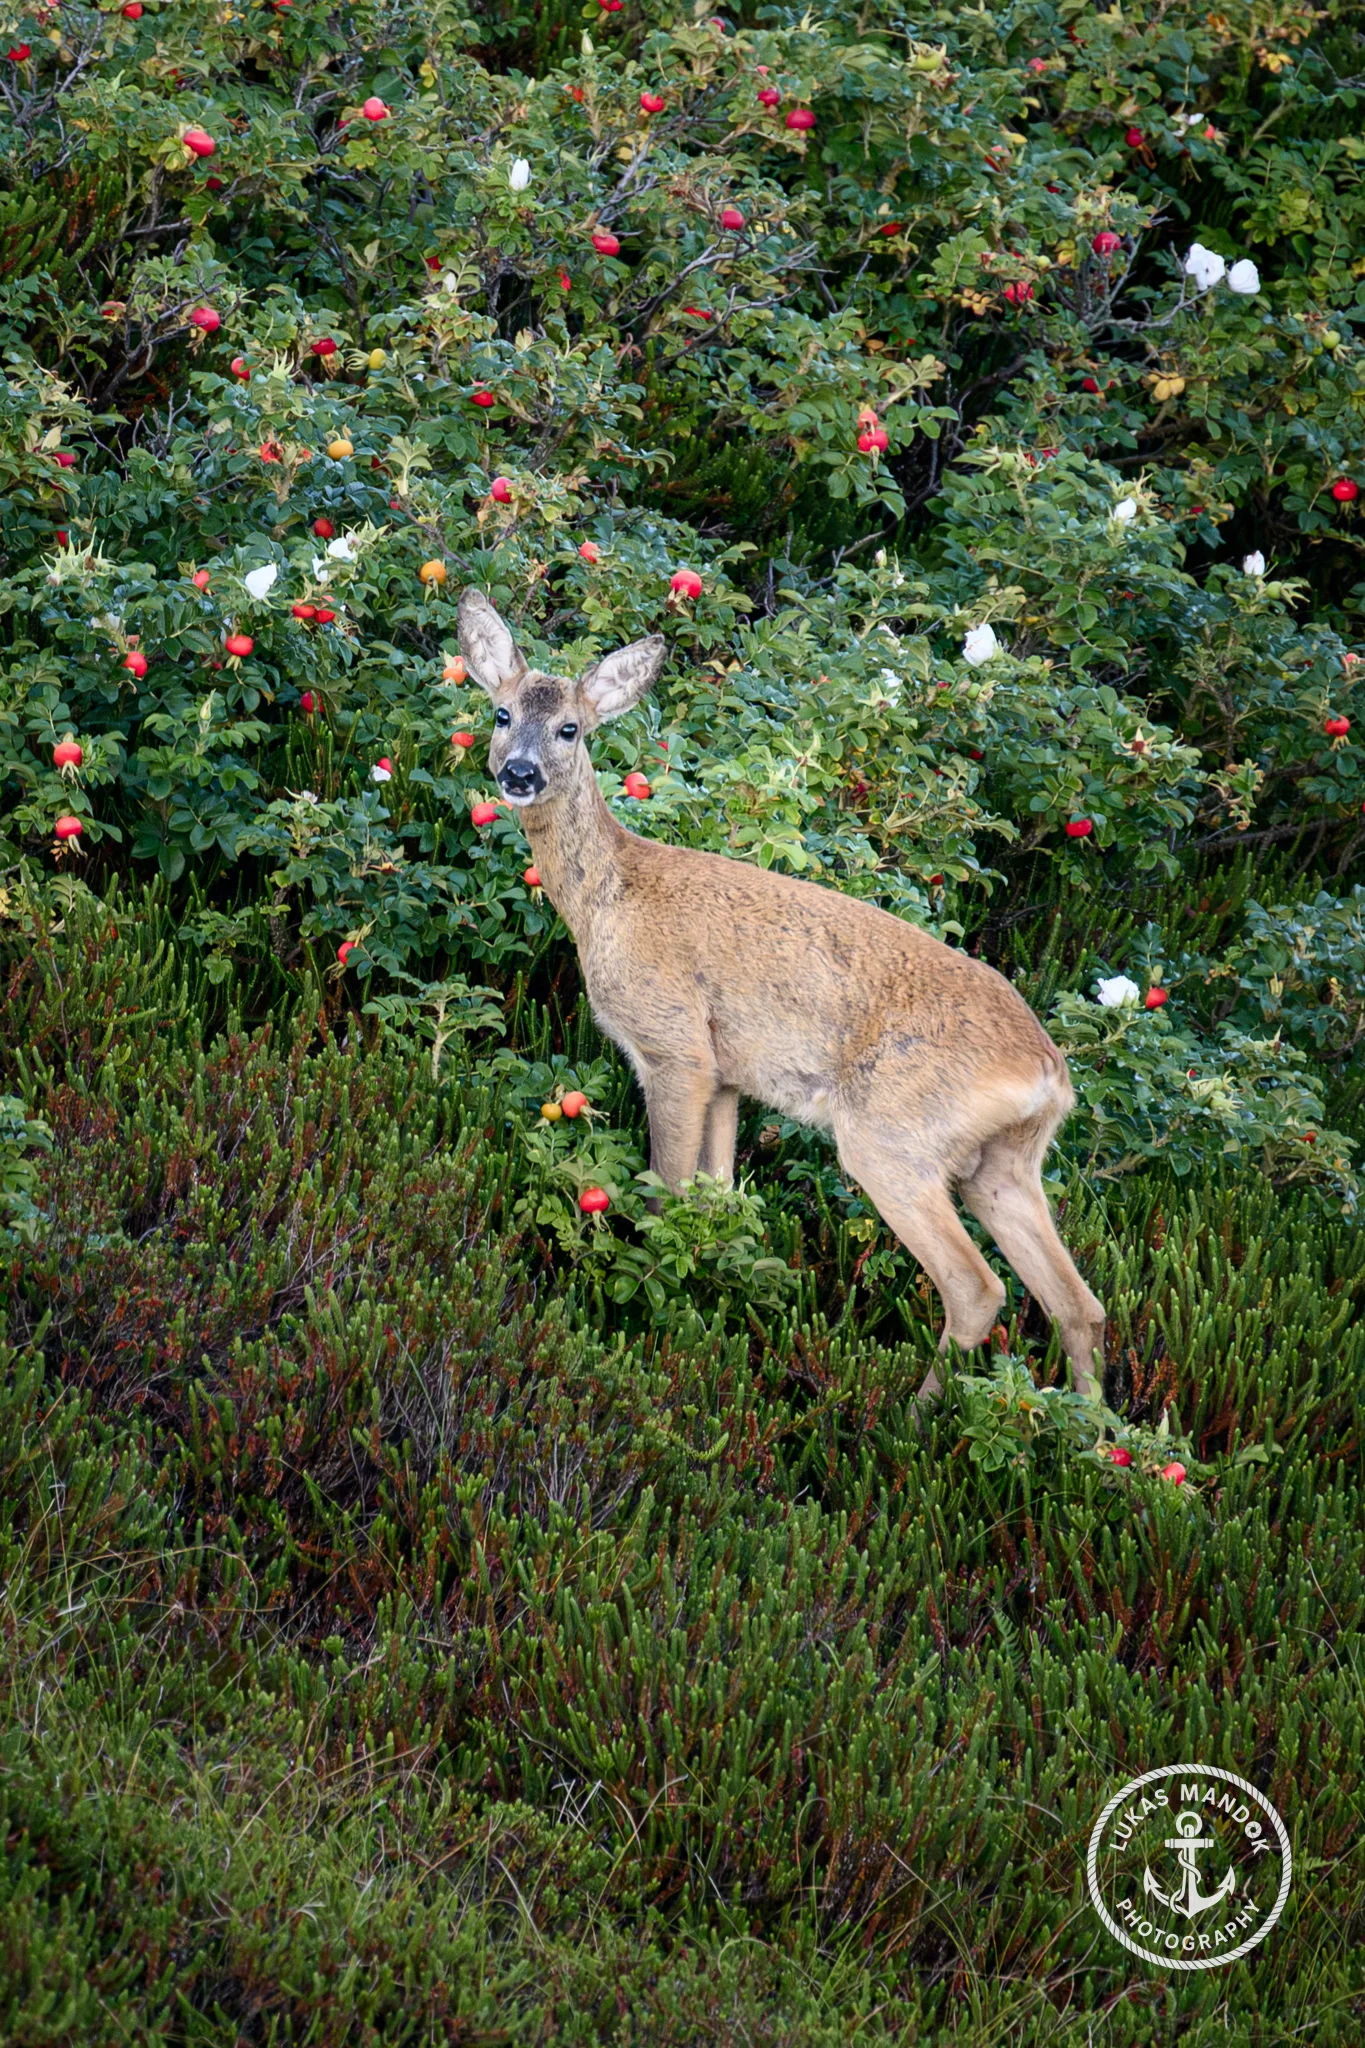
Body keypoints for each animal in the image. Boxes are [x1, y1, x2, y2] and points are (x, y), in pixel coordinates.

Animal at [458, 589, 1106, 1401]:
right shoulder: (729, 1077)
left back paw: (912, 1415)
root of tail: (1050, 1076)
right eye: (501, 712)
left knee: (977, 1288)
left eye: (570, 728)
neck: (610, 897)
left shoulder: (674, 1046)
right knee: (1078, 1303)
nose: (517, 773)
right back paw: (1081, 1424)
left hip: (892, 1137)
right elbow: (716, 1195)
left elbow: (664, 1192)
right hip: (1006, 1162)